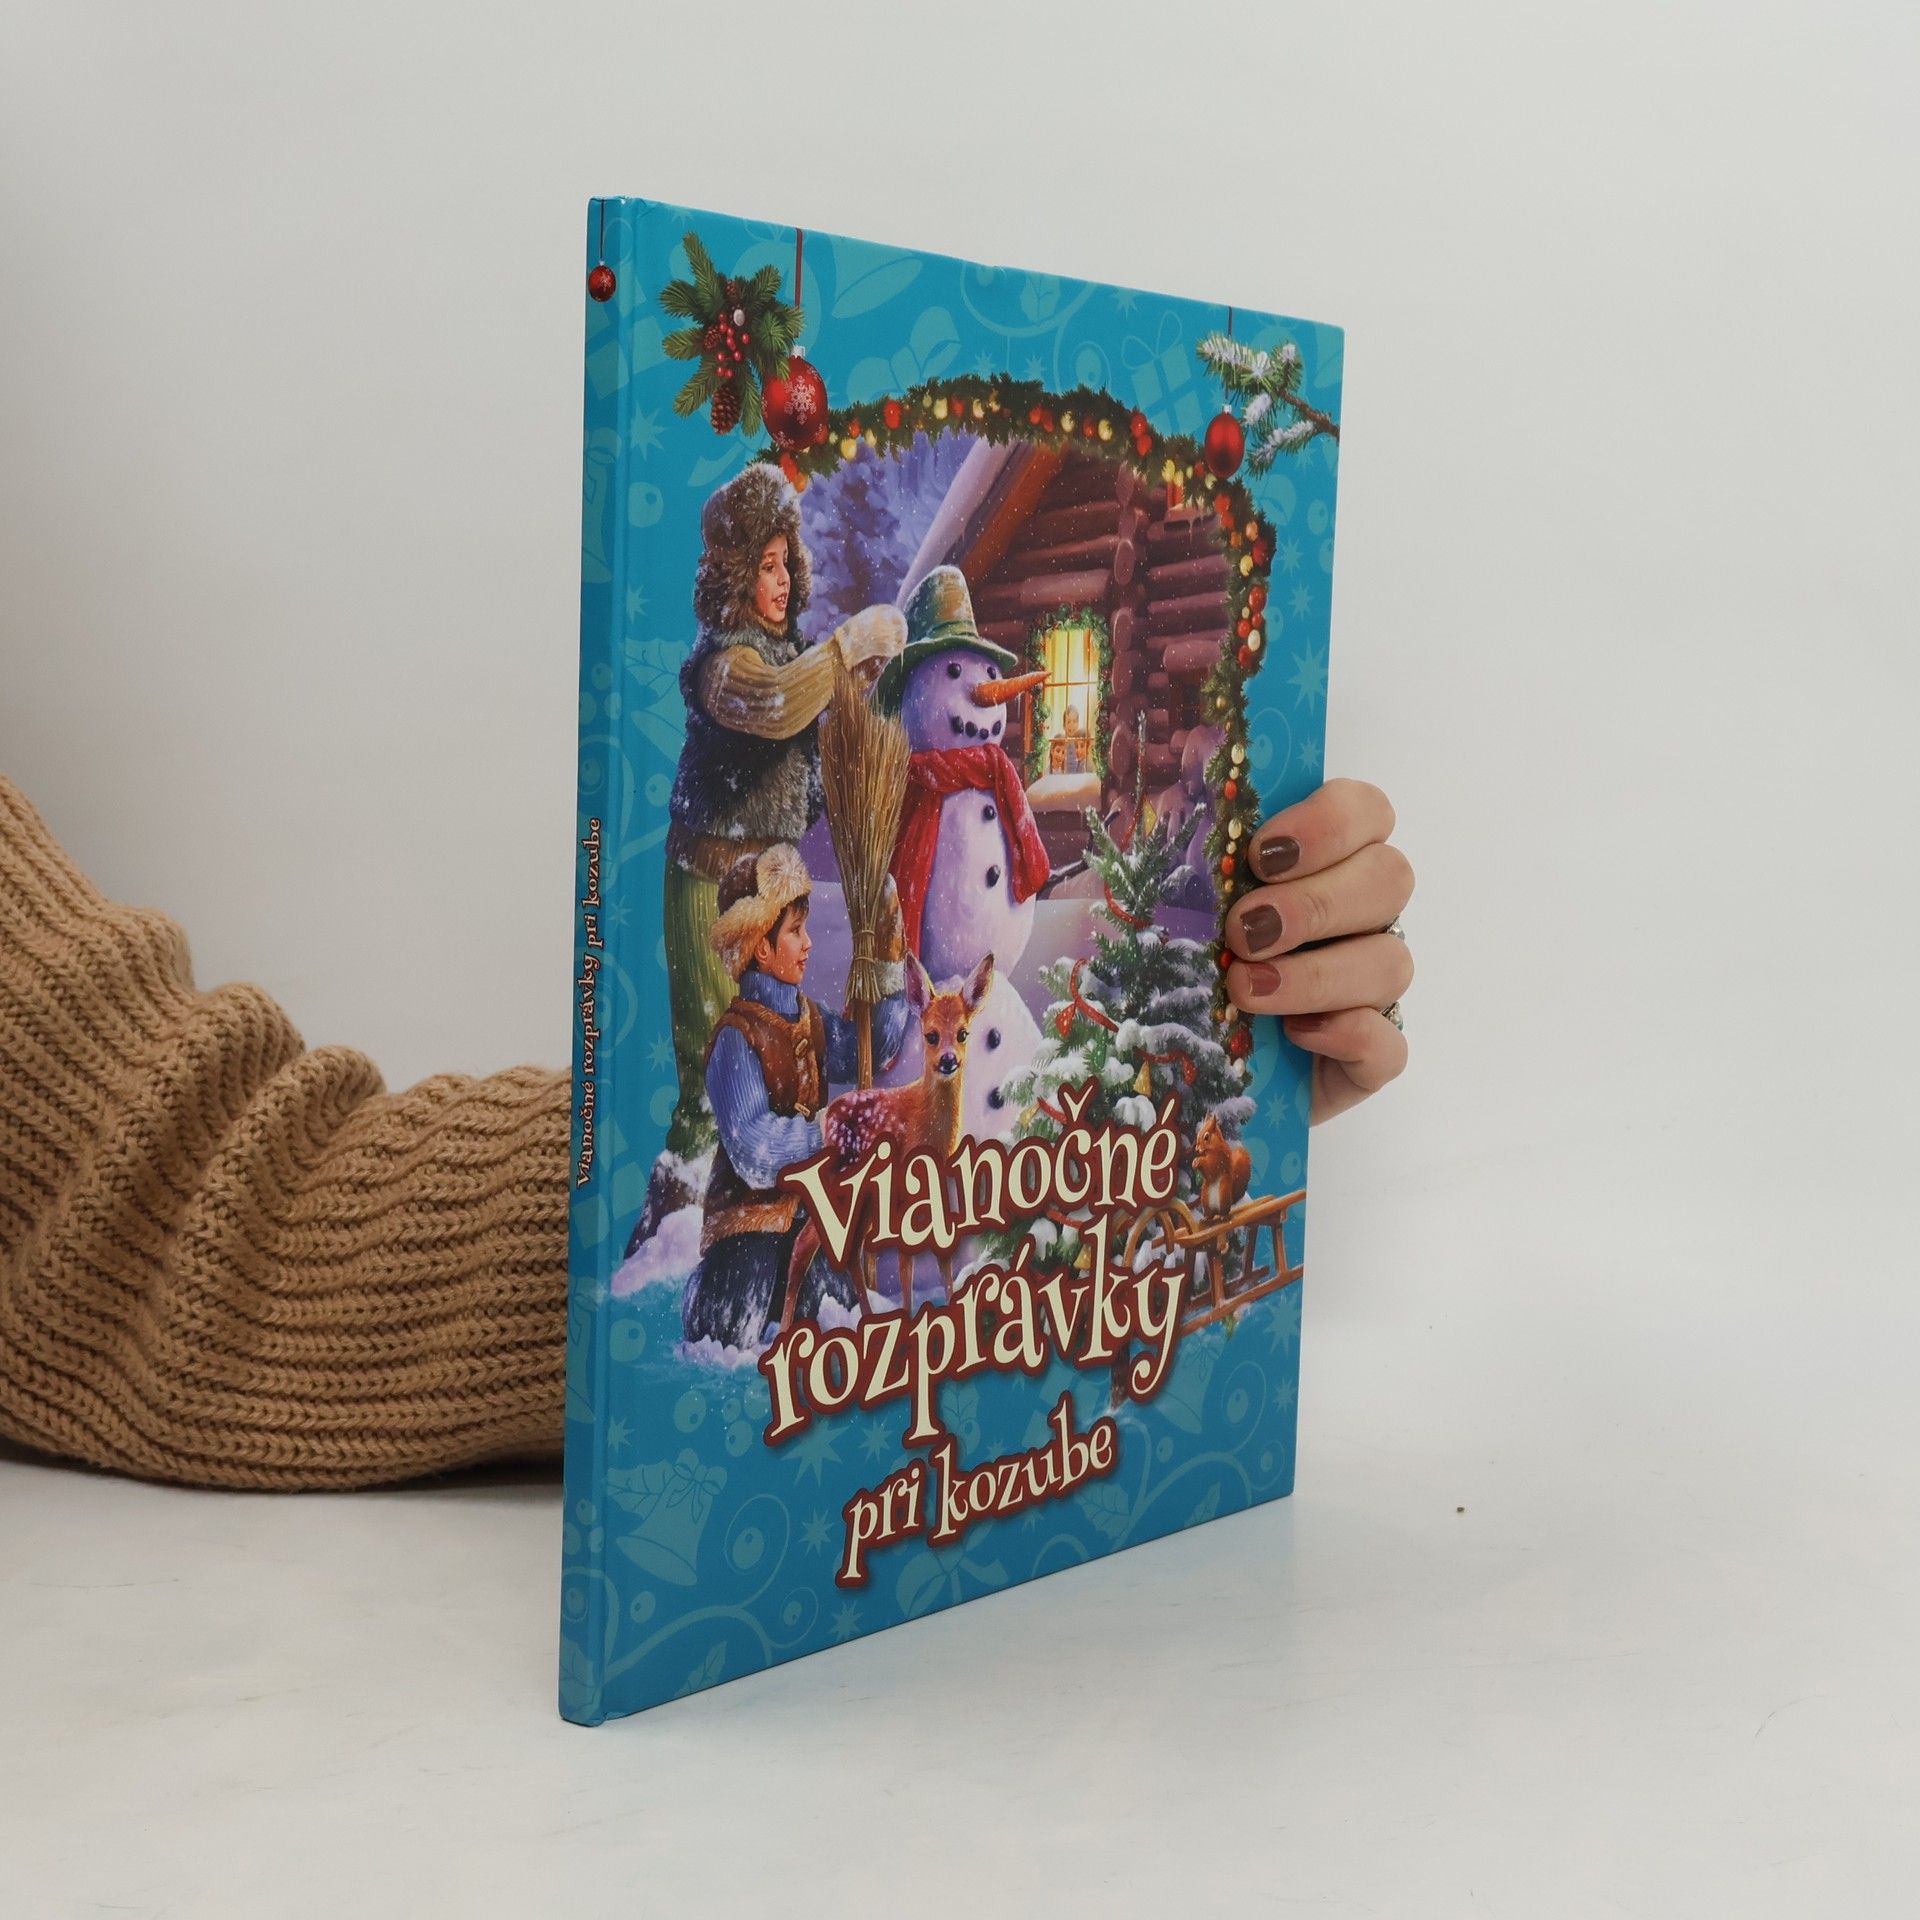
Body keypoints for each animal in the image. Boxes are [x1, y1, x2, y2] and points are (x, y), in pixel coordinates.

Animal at [776, 952, 993, 1339]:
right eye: (931, 1035)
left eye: (963, 1033)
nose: (948, 1060)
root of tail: (826, 1117)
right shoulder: (904, 1191)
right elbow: (906, 1261)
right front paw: (909, 1324)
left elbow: (942, 1252)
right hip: (841, 1186)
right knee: (804, 1244)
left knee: (851, 1251)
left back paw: (868, 1319)